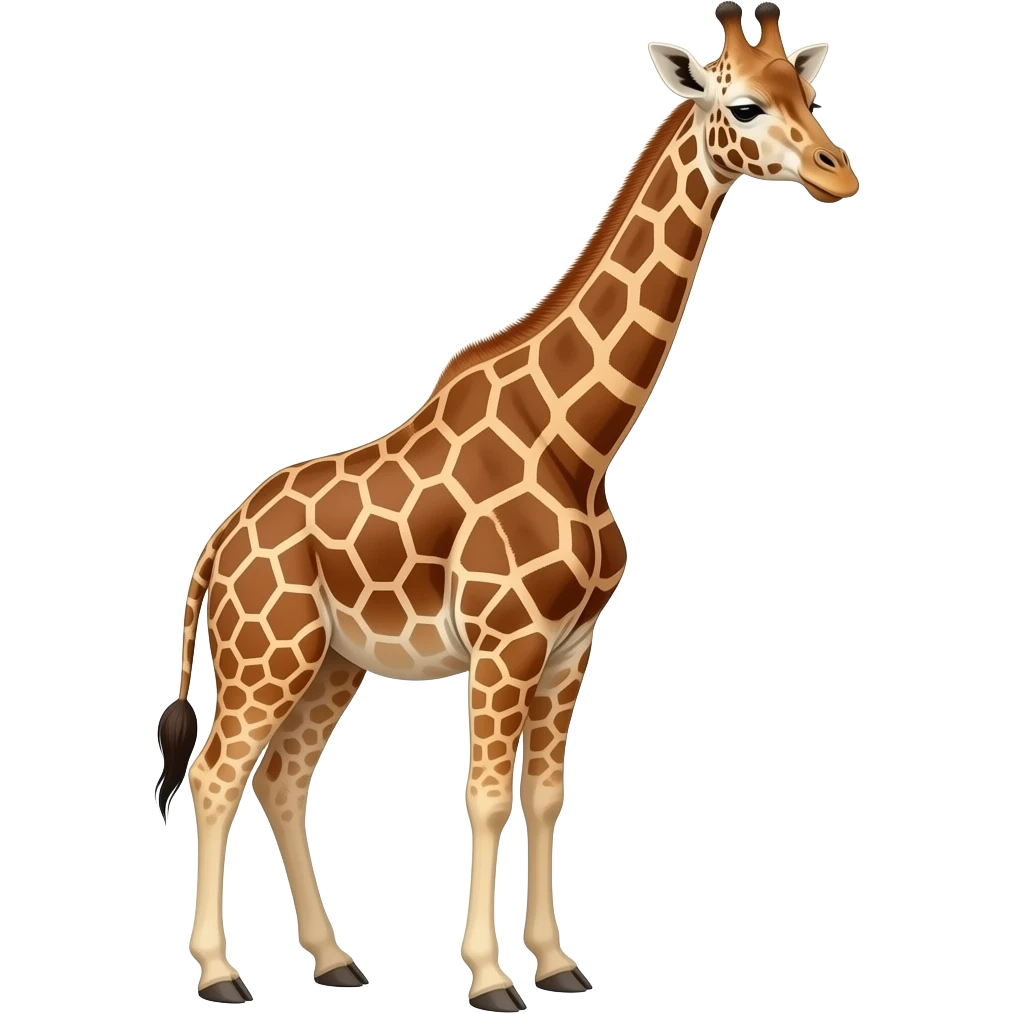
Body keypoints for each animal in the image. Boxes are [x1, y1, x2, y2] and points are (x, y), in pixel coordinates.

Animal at [155, 3, 859, 1009]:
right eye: (746, 106)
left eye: (810, 92)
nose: (840, 174)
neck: (583, 445)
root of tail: (214, 547)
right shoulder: (504, 643)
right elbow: (485, 797)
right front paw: (490, 977)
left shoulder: (571, 649)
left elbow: (546, 796)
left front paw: (558, 963)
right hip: (267, 653)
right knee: (218, 775)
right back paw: (219, 974)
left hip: (333, 661)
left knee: (284, 777)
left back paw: (335, 961)